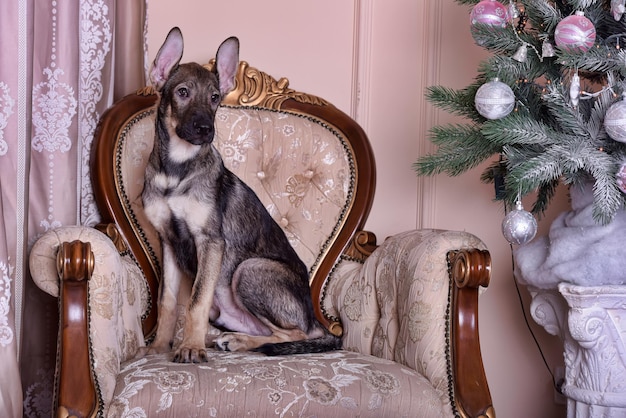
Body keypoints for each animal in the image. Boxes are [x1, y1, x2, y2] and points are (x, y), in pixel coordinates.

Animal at [139, 28, 342, 362]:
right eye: (182, 92)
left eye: (214, 98)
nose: (205, 129)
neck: (176, 170)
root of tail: (316, 319)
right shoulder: (168, 242)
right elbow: (167, 301)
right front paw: (159, 347)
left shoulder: (210, 241)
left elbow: (195, 301)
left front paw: (190, 347)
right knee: (269, 332)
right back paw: (230, 339)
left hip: (249, 270)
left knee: (293, 334)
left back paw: (235, 342)